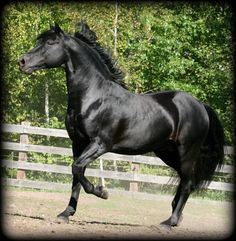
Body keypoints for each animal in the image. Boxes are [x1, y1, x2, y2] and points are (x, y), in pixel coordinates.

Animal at [18, 21, 223, 227]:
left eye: (51, 42)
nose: (22, 62)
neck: (94, 97)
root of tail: (201, 106)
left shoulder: (100, 144)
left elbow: (77, 168)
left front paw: (102, 192)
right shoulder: (77, 143)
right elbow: (76, 176)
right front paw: (66, 213)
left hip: (186, 152)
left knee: (187, 184)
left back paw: (170, 222)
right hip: (167, 152)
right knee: (184, 182)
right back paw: (175, 217)